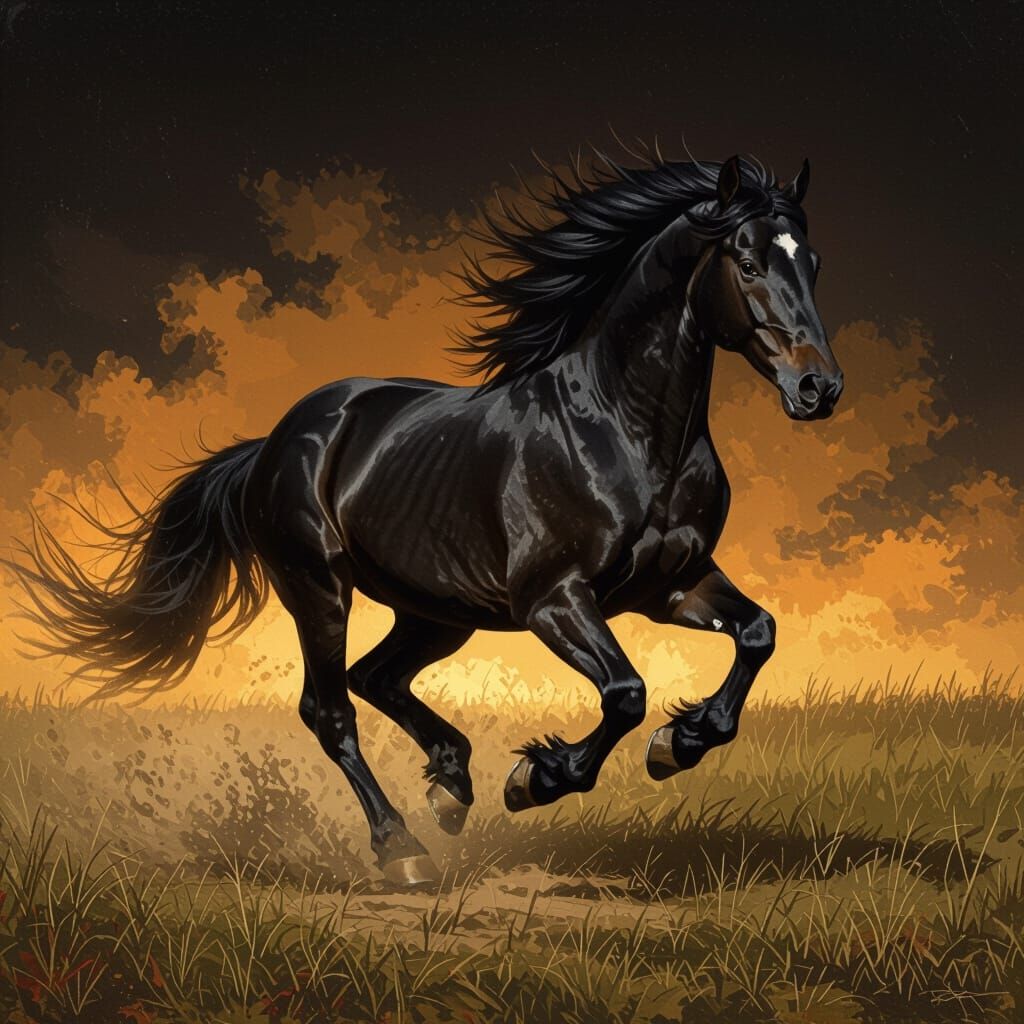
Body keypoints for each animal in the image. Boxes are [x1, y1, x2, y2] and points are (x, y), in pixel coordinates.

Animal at [9, 151, 844, 887]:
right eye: (747, 262)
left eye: (813, 263)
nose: (819, 388)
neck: (623, 430)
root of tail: (273, 444)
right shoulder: (554, 601)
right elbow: (626, 693)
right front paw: (538, 779)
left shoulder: (671, 585)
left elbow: (758, 634)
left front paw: (681, 741)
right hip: (319, 589)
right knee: (331, 707)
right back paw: (402, 848)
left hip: (438, 611)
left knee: (375, 677)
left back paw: (451, 784)